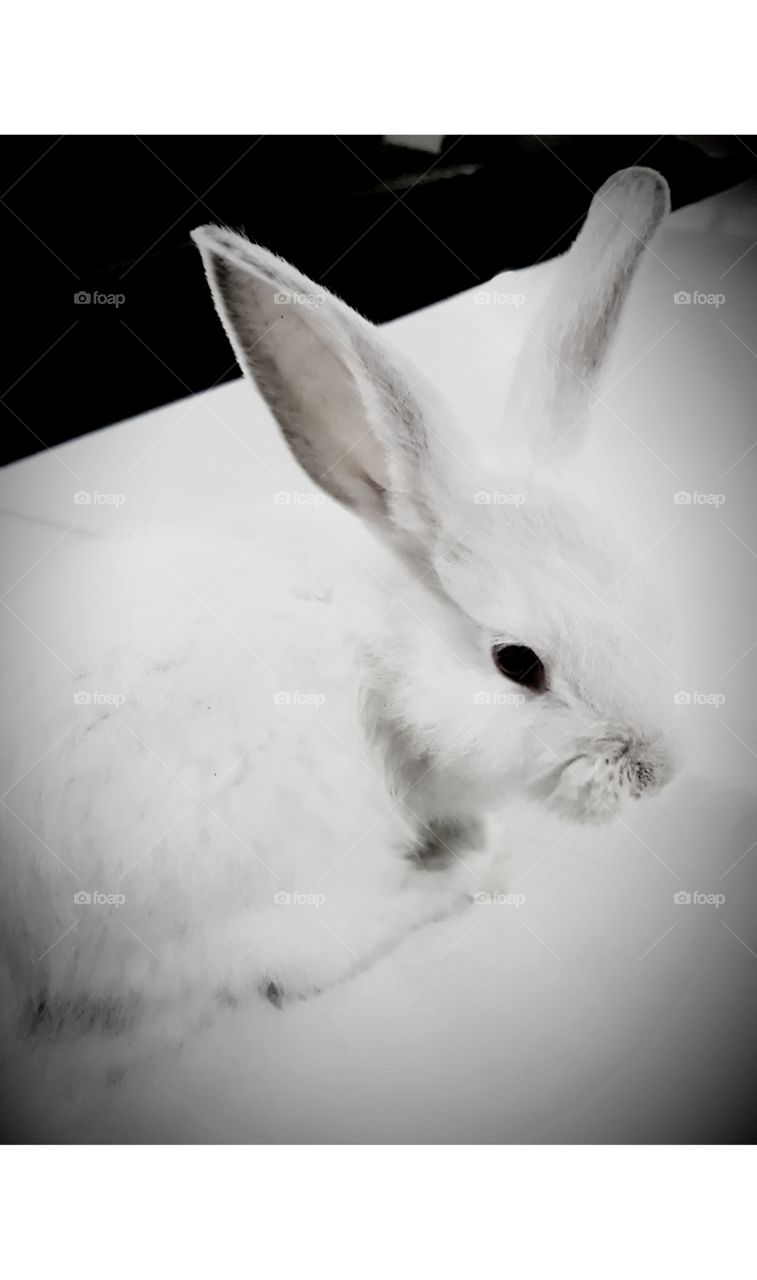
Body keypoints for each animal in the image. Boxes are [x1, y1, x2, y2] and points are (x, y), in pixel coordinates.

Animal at [0, 166, 678, 1052]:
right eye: (516, 663)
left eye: (644, 598)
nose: (654, 773)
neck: (388, 649)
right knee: (300, 955)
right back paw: (470, 865)